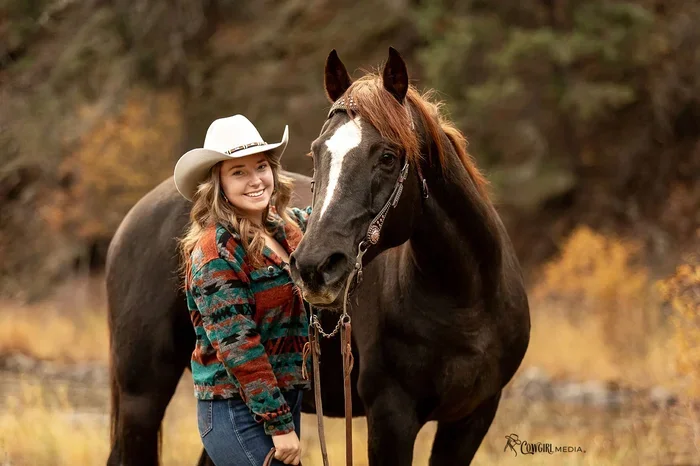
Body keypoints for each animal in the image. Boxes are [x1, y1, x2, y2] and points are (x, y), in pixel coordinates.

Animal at [287, 48, 531, 465]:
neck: (465, 303)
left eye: (388, 157)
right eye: (317, 151)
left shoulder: (473, 417)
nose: (314, 268)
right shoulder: (390, 419)